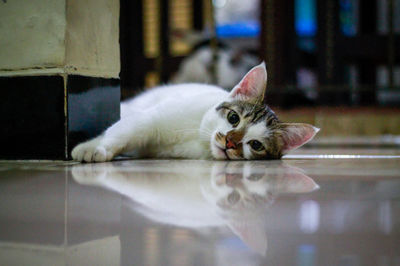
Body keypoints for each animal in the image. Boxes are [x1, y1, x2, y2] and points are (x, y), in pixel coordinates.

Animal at [72, 62, 318, 162]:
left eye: (256, 145)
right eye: (233, 118)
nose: (230, 143)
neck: (199, 137)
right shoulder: (148, 119)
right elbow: (120, 131)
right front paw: (94, 148)